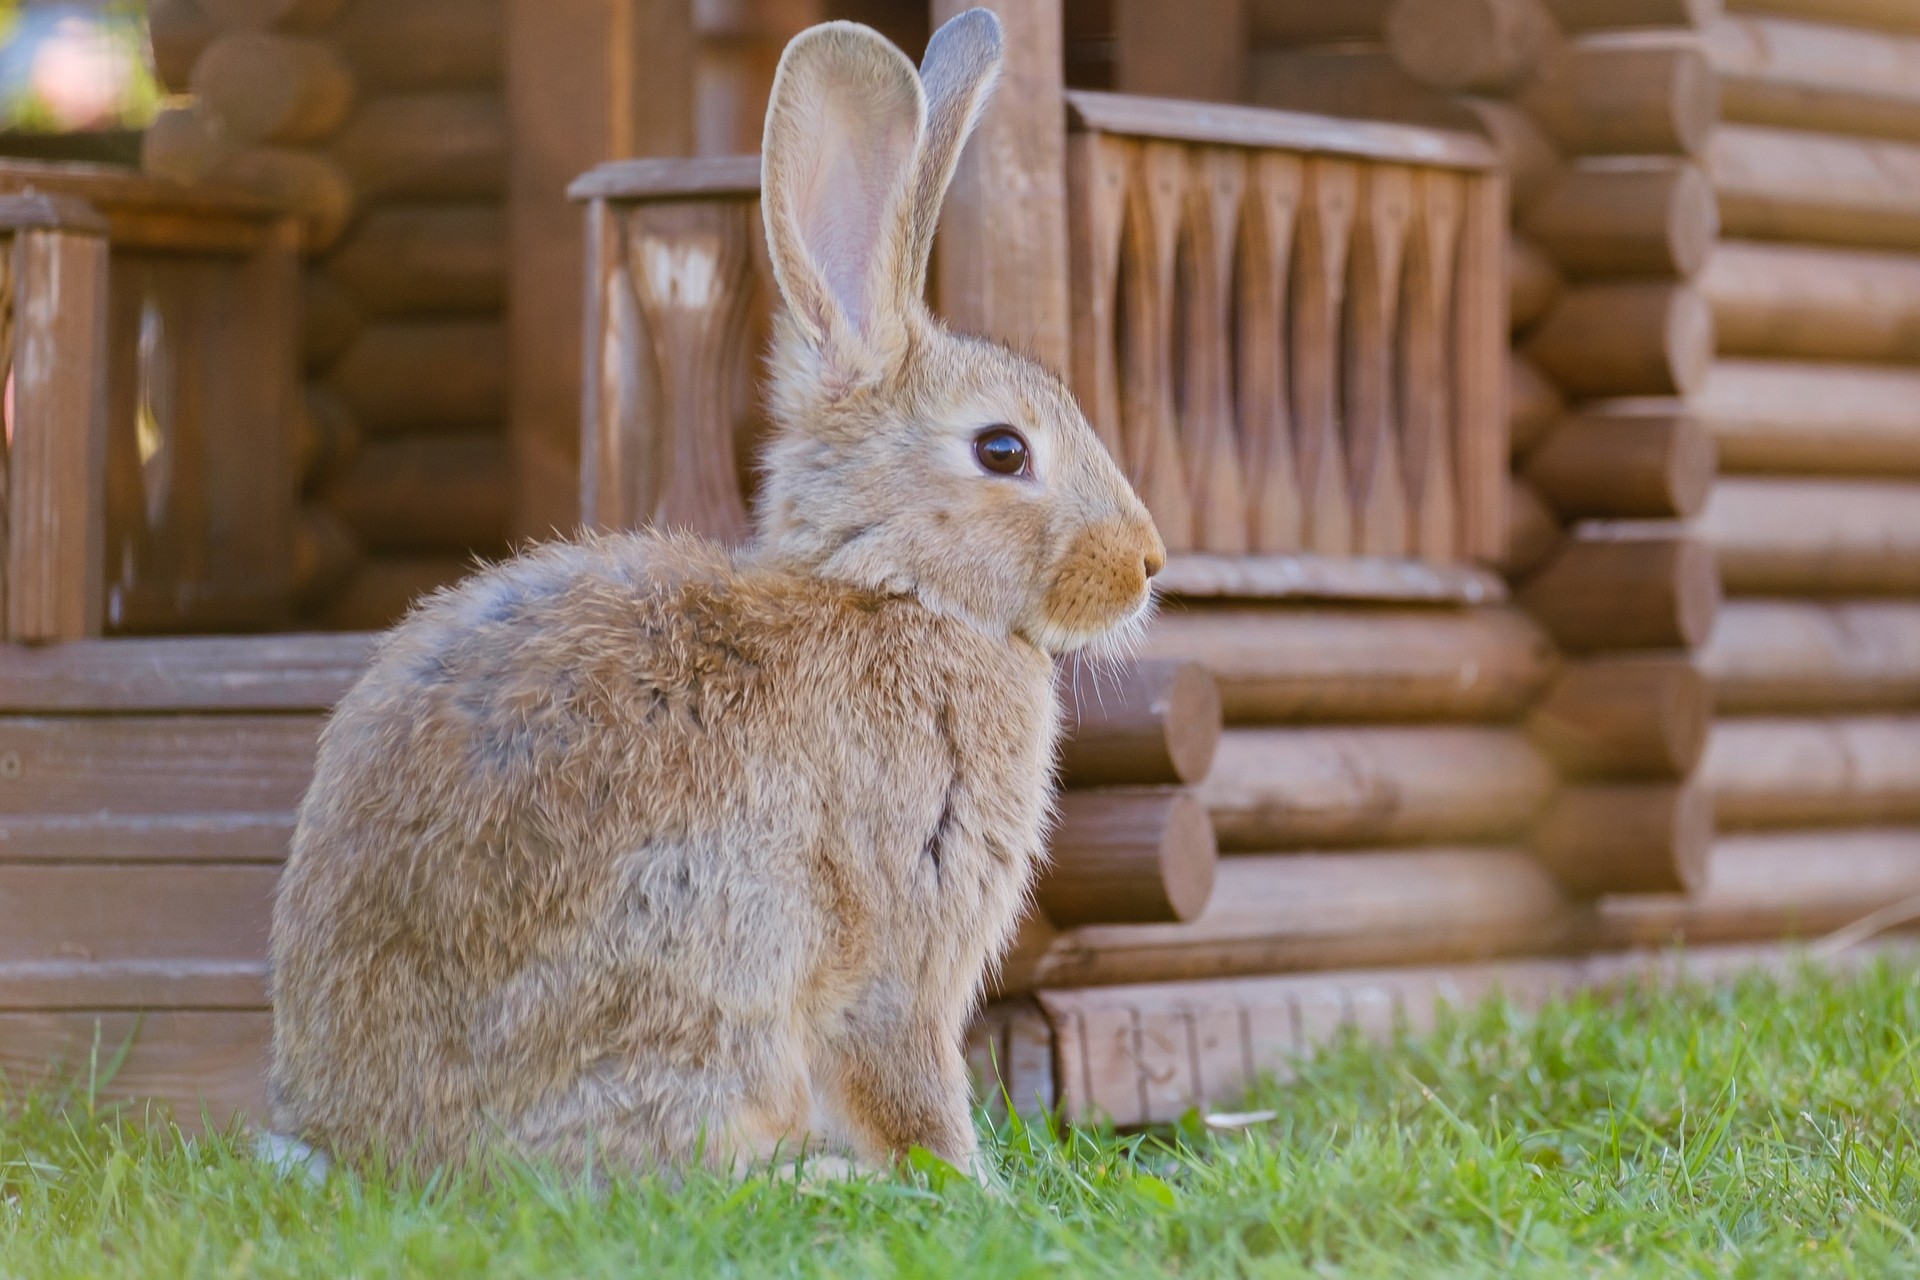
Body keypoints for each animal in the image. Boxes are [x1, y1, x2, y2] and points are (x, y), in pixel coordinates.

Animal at [268, 7, 1159, 1182]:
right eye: (1003, 450)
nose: (1147, 561)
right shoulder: (907, 926)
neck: (897, 589)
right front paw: (970, 1186)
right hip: (716, 944)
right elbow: (913, 1074)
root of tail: (351, 1141)